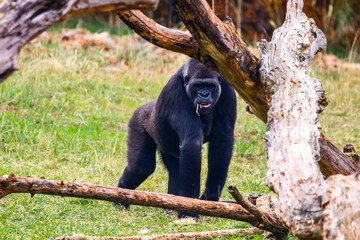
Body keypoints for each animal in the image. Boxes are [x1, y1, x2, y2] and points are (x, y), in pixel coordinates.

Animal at [115, 57, 238, 218]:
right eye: (198, 85)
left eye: (210, 86)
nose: (204, 94)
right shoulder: (175, 93)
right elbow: (192, 143)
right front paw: (190, 211)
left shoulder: (228, 90)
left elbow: (222, 141)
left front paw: (209, 197)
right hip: (137, 121)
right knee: (141, 167)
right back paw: (120, 197)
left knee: (175, 170)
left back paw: (171, 205)